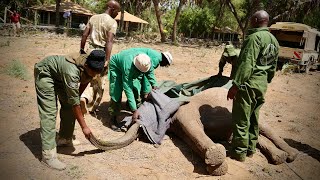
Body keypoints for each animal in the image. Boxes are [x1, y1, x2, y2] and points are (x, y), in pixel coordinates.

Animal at [89, 88, 298, 176]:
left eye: (140, 114)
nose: (132, 118)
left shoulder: (184, 112)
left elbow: (194, 128)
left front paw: (216, 162)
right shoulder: (177, 126)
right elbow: (191, 140)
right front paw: (217, 167)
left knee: (264, 128)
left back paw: (291, 155)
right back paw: (279, 158)